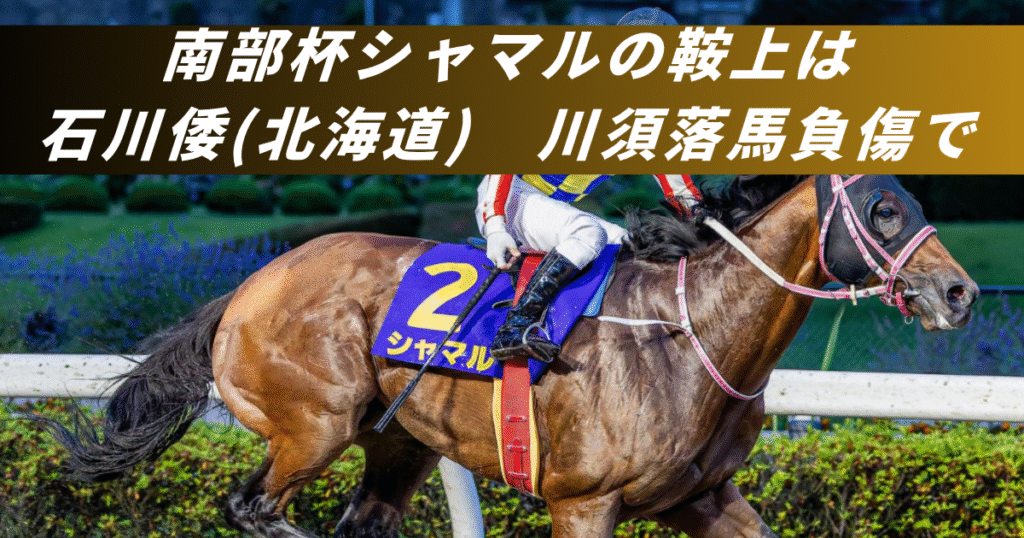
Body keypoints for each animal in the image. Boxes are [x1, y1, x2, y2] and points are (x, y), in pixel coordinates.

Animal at [38, 174, 977, 538]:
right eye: (884, 210)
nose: (959, 291)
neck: (690, 333)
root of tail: (246, 288)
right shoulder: (584, 500)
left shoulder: (703, 497)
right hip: (312, 423)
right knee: (254, 506)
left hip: (398, 443)